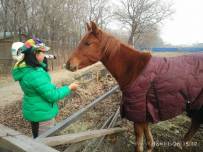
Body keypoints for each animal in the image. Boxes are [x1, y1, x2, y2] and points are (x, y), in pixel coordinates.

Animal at [66, 21, 202, 152]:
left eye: (88, 43)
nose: (68, 64)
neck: (134, 70)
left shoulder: (138, 116)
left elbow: (139, 146)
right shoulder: (144, 115)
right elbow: (150, 141)